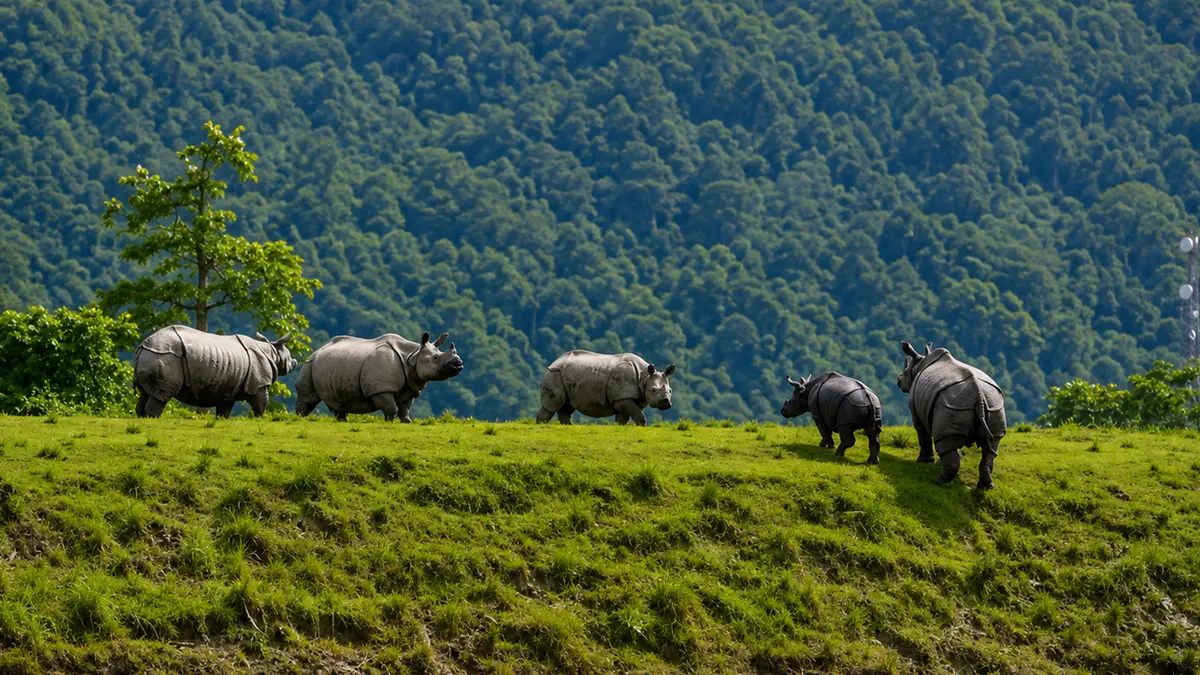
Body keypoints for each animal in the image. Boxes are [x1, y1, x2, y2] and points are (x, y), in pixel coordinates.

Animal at [133, 325, 297, 418]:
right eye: (289, 356)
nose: (295, 363)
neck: (272, 351)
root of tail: (143, 346)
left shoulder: (229, 388)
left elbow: (224, 410)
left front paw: (221, 421)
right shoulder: (259, 383)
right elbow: (261, 403)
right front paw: (260, 419)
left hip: (153, 355)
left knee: (145, 393)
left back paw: (143, 417)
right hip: (166, 356)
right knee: (161, 395)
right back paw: (154, 419)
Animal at [295, 332, 463, 422]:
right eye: (435, 358)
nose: (459, 363)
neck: (412, 355)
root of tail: (317, 350)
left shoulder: (410, 385)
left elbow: (405, 408)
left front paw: (407, 422)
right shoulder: (381, 389)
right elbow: (391, 408)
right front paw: (389, 422)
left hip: (331, 367)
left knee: (337, 402)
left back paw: (341, 421)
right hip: (309, 365)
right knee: (308, 398)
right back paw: (299, 419)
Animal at [536, 350, 675, 426]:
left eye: (670, 391)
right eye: (654, 390)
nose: (666, 402)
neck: (644, 376)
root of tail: (554, 361)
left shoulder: (624, 398)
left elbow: (623, 418)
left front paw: (620, 427)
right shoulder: (623, 397)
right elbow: (638, 415)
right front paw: (642, 426)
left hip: (567, 376)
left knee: (566, 406)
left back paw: (569, 426)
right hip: (554, 373)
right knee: (552, 405)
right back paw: (541, 424)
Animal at [896, 341, 1006, 490]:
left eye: (905, 371)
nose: (898, 379)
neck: (919, 365)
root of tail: (979, 396)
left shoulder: (915, 408)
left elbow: (922, 433)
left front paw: (924, 461)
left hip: (952, 405)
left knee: (944, 440)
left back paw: (940, 482)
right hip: (992, 404)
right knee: (991, 446)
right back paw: (986, 486)